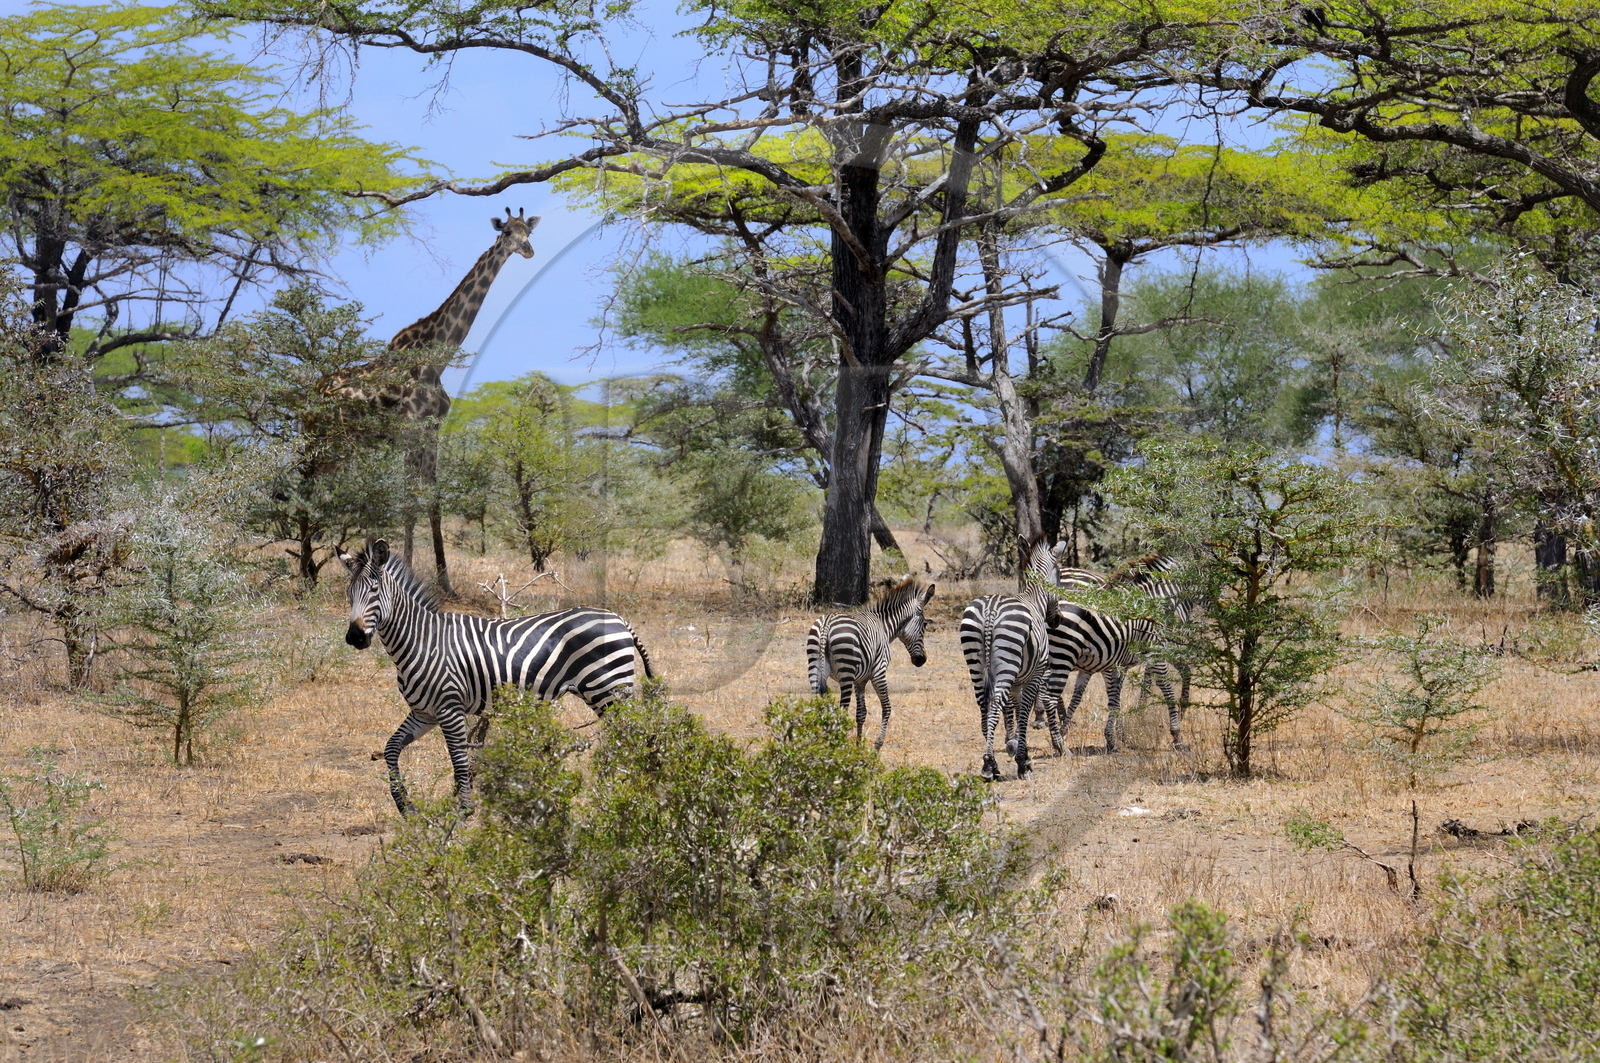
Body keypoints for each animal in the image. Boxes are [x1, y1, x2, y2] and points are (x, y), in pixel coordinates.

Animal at [340, 539, 655, 814]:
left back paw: (630, 787)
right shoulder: (424, 713)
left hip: (608, 689)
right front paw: (405, 805)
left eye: (374, 590)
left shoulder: (449, 708)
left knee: (630, 736)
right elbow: (391, 748)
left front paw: (463, 811)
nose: (355, 637)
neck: (422, 641)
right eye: (349, 593)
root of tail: (618, 618)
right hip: (607, 692)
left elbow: (460, 761)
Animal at [357, 207, 538, 596]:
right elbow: (409, 500)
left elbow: (433, 500)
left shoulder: (432, 431)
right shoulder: (410, 430)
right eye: (507, 232)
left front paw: (445, 581)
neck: (434, 359)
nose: (528, 250)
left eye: (527, 231)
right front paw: (406, 570)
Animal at [806, 578, 937, 749]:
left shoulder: (860, 680)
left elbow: (861, 713)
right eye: (924, 625)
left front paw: (858, 745)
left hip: (814, 666)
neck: (884, 627)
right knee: (842, 709)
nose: (921, 660)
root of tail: (827, 623)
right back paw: (838, 745)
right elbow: (887, 708)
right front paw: (877, 745)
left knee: (817, 704)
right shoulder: (878, 672)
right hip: (846, 672)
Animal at [960, 538, 1061, 781]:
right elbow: (1023, 710)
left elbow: (1013, 707)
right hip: (1006, 659)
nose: (1057, 620)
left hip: (975, 662)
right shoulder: (1035, 674)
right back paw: (989, 766)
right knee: (995, 702)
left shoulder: (1017, 680)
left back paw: (991, 763)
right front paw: (1023, 761)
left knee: (984, 705)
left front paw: (1012, 744)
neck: (1035, 598)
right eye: (1061, 576)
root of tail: (990, 610)